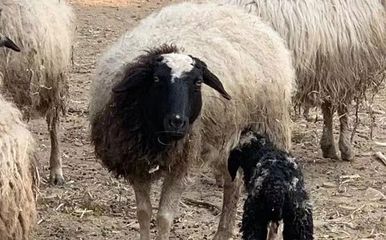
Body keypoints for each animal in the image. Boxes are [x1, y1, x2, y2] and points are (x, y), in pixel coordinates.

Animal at [88, 2, 296, 240]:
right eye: (156, 79)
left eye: (198, 83)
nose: (177, 122)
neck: (156, 136)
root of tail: (247, 16)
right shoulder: (135, 162)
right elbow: (143, 212)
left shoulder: (181, 164)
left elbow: (164, 217)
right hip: (225, 140)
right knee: (232, 183)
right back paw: (222, 232)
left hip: (272, 125)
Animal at [220, 0, 386, 161]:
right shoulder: (344, 74)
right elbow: (342, 112)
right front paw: (345, 150)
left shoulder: (328, 74)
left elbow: (327, 110)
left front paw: (328, 147)